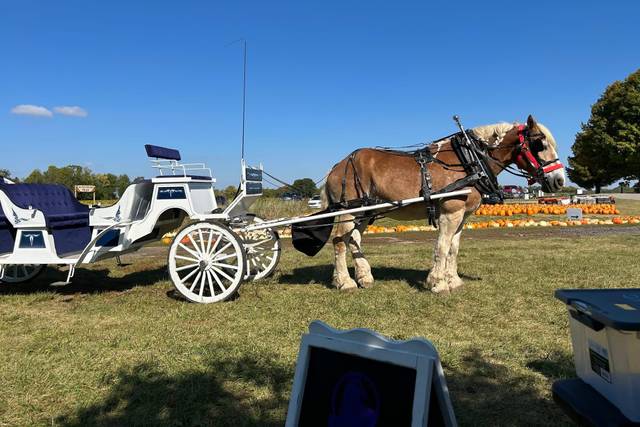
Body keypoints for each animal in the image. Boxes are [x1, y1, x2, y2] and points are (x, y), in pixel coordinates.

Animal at [322, 115, 565, 294]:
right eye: (539, 143)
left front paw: (453, 280)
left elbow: (453, 248)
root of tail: (337, 167)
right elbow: (442, 246)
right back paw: (345, 282)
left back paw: (364, 277)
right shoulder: (450, 212)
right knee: (339, 241)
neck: (470, 160)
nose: (560, 180)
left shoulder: (462, 216)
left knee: (354, 239)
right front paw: (437, 283)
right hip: (348, 211)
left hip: (366, 212)